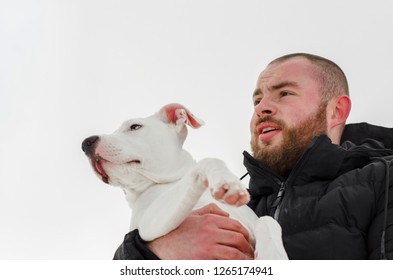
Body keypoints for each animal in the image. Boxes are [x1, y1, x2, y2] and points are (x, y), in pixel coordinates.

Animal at [81, 104, 286, 260]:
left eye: (135, 127)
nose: (86, 143)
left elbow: (268, 221)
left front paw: (274, 254)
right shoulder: (151, 221)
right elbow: (208, 161)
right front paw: (226, 181)